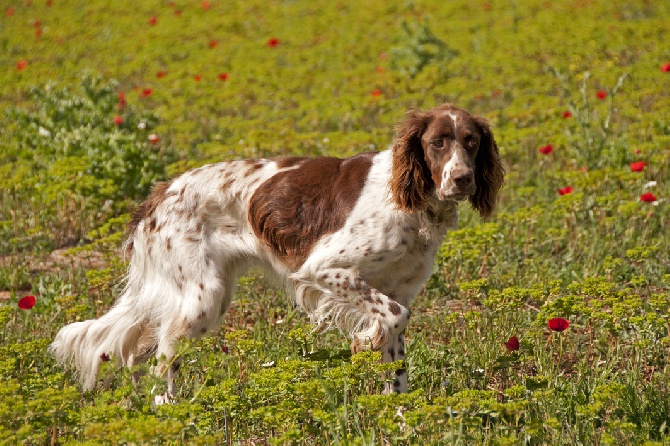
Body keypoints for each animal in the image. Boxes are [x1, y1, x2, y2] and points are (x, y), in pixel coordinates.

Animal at [51, 103, 504, 398]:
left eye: (472, 142)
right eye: (437, 143)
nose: (462, 179)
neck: (413, 203)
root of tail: (160, 194)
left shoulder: (399, 290)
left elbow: (395, 352)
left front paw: (399, 414)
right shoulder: (324, 267)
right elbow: (392, 319)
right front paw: (365, 340)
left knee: (141, 349)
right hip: (203, 298)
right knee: (163, 355)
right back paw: (172, 412)